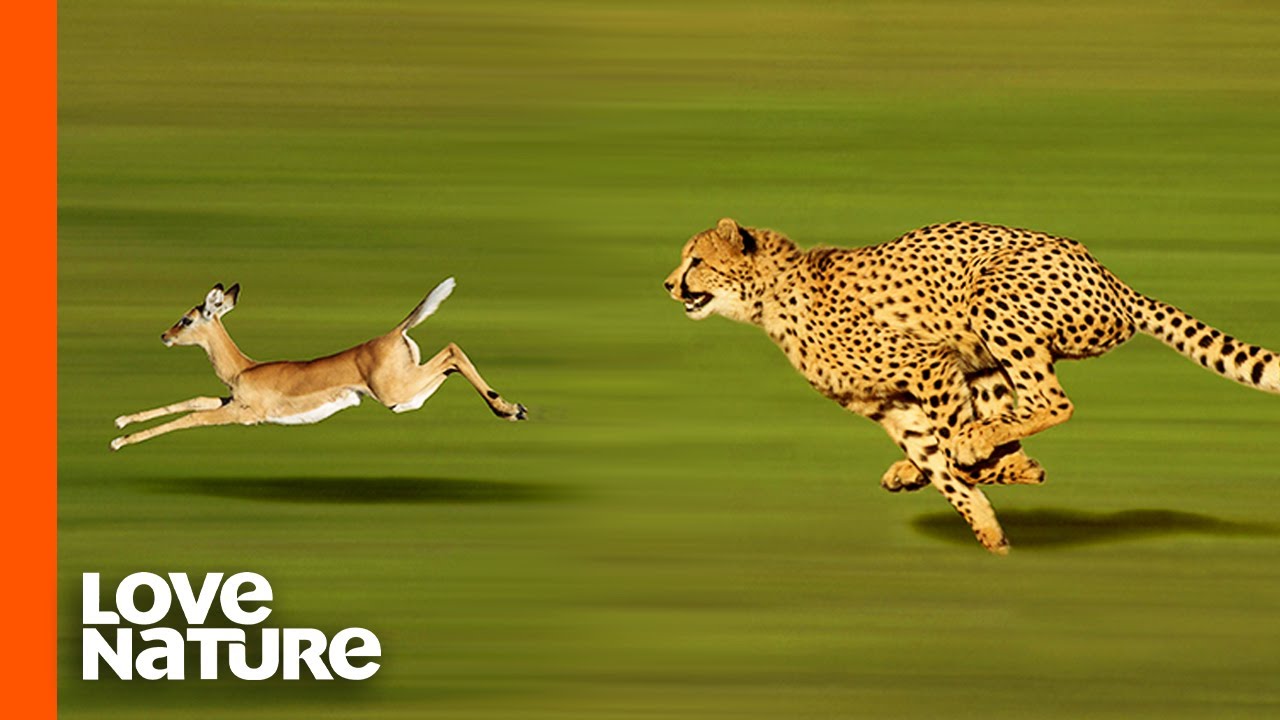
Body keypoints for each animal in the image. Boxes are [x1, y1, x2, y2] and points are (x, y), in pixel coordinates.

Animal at [110, 279, 528, 450]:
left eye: (186, 319)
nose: (164, 335)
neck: (243, 370)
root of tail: (395, 332)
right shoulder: (229, 399)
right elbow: (193, 401)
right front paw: (120, 422)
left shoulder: (245, 413)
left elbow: (192, 417)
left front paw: (118, 442)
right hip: (407, 395)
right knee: (451, 359)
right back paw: (511, 408)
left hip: (395, 394)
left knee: (453, 350)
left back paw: (511, 409)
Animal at [665, 218, 1280, 554]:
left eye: (696, 260)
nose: (669, 284)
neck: (771, 296)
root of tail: (1114, 280)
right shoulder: (893, 407)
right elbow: (944, 470)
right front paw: (989, 524)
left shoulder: (927, 363)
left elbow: (951, 445)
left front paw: (998, 464)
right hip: (985, 362)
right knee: (1012, 406)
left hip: (990, 294)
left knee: (1051, 401)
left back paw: (986, 445)